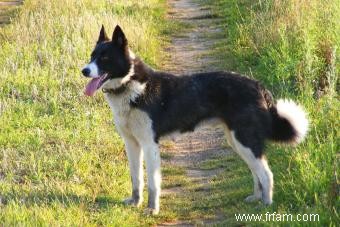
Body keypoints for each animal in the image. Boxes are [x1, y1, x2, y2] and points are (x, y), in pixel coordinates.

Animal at [81, 24, 308, 215]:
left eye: (105, 58)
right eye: (92, 56)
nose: (84, 70)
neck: (130, 84)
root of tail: (258, 85)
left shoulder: (149, 144)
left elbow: (153, 182)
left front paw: (152, 209)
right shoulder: (132, 144)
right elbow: (136, 178)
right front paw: (135, 203)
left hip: (245, 140)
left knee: (266, 174)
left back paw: (267, 205)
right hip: (238, 141)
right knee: (257, 171)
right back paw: (256, 198)